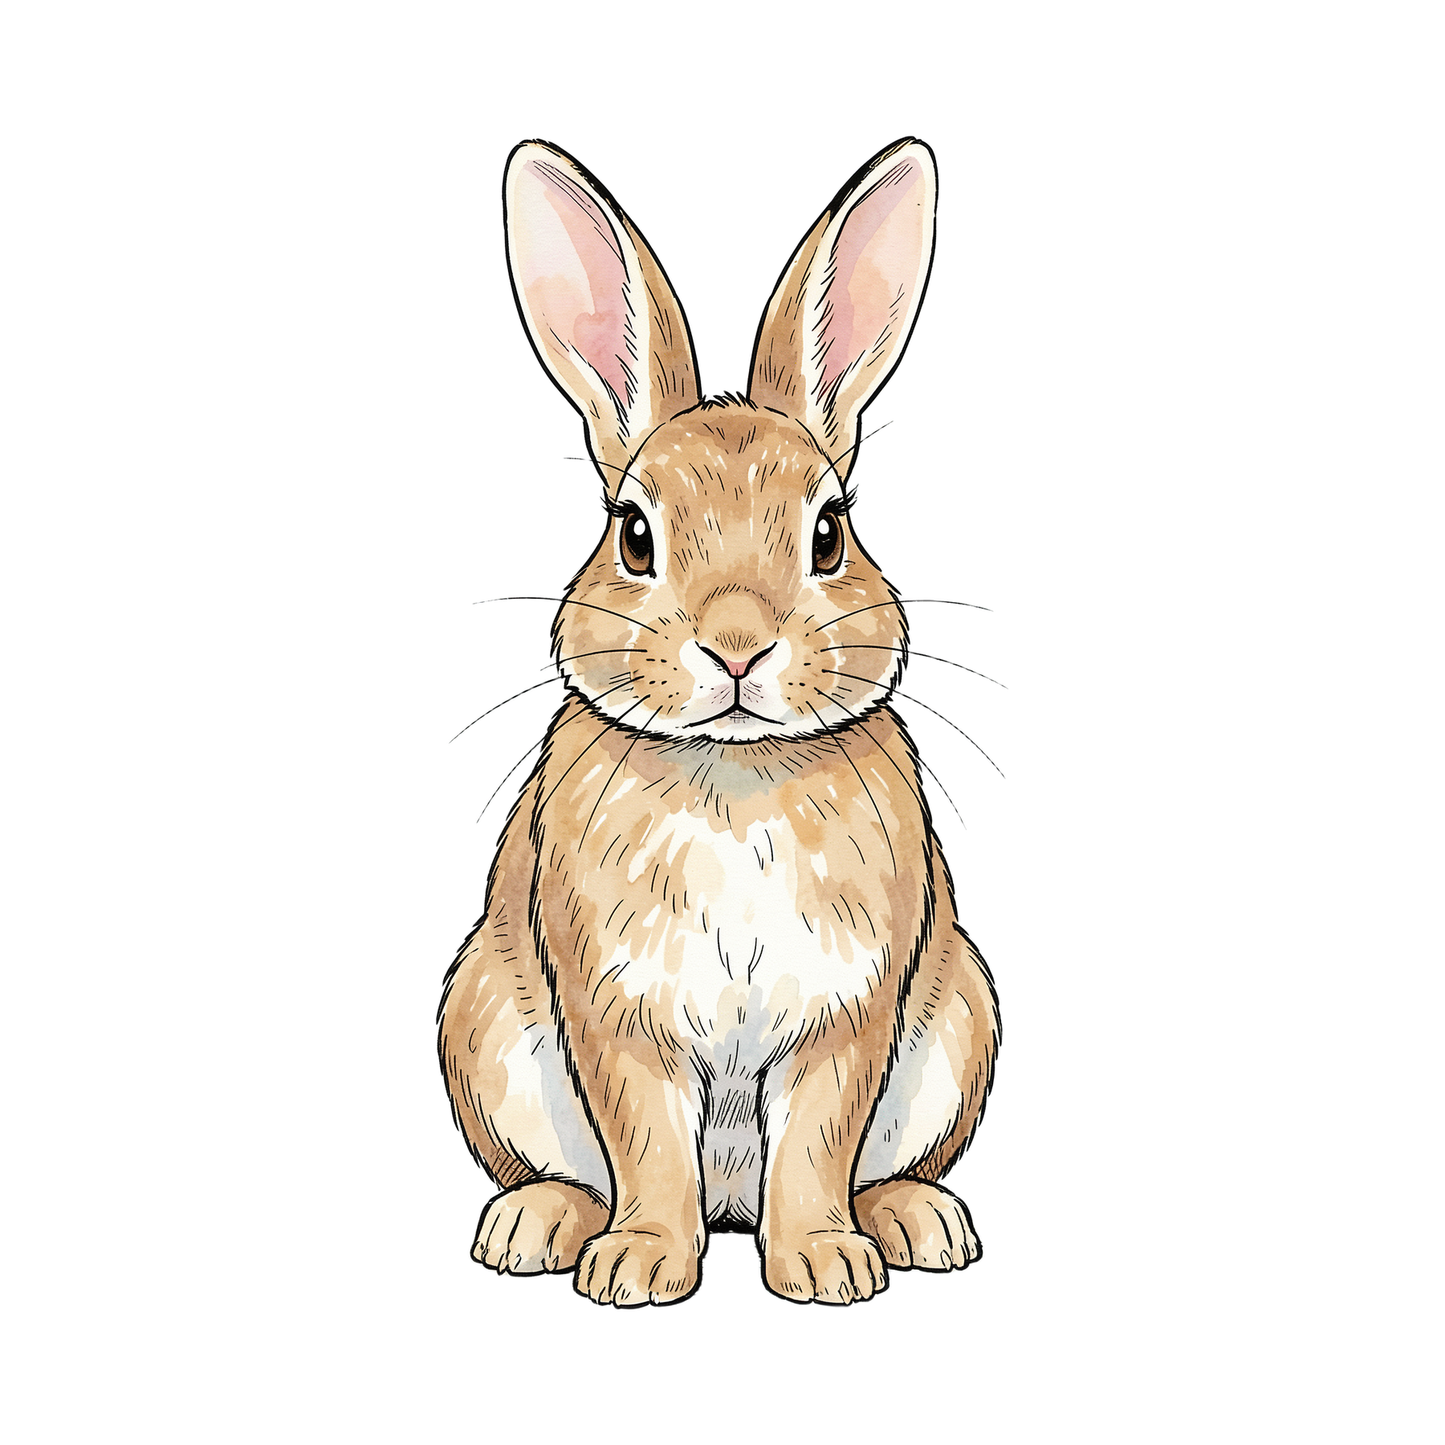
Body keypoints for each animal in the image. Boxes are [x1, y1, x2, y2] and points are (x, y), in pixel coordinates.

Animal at [438, 136, 999, 1307]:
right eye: (632, 533)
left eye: (829, 532)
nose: (736, 645)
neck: (731, 773)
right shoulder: (616, 1014)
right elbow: (647, 1140)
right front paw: (641, 1267)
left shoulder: (847, 1013)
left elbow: (818, 1141)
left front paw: (825, 1267)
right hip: (478, 1022)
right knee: (562, 1170)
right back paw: (534, 1227)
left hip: (962, 1017)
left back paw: (917, 1222)